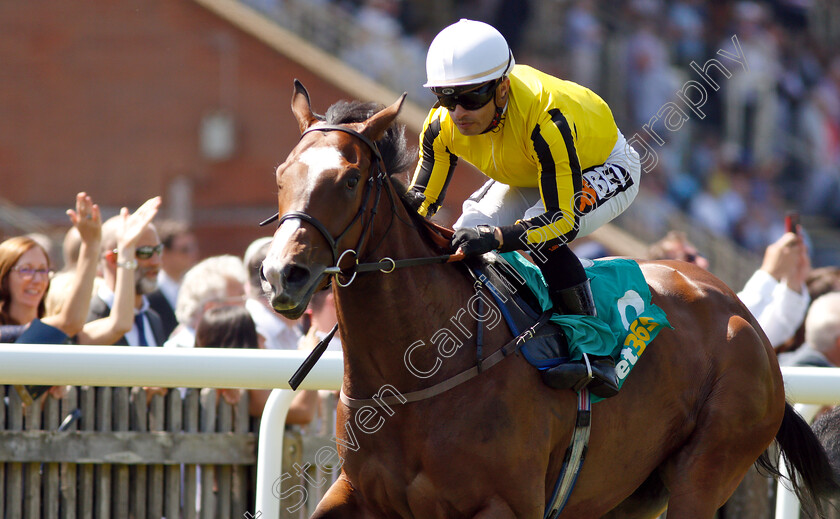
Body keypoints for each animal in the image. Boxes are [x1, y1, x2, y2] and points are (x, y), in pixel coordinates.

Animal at [260, 79, 836, 516]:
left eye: (351, 178)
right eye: (281, 174)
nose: (282, 273)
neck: (414, 376)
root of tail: (743, 315)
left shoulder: (505, 504)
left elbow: (560, 217)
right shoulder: (356, 493)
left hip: (706, 470)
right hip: (627, 493)